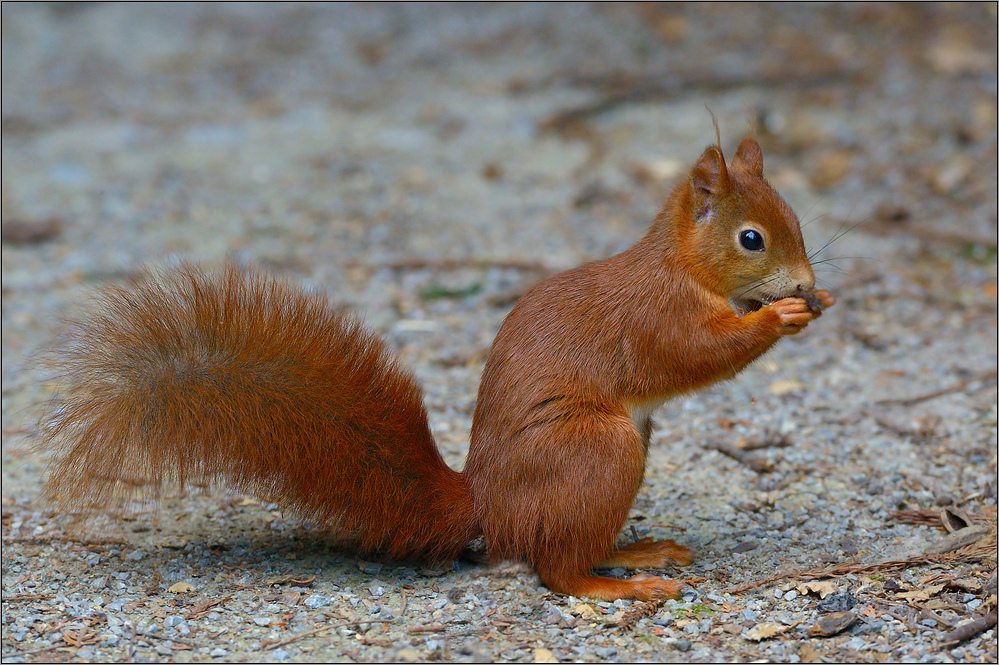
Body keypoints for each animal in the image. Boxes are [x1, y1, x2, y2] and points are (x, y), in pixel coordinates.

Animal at [37, 135, 836, 600]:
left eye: (798, 219)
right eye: (752, 238)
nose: (804, 283)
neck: (680, 266)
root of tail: (487, 505)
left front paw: (818, 300)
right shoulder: (655, 319)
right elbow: (699, 352)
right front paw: (778, 316)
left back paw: (640, 549)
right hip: (597, 448)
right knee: (554, 568)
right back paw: (618, 587)